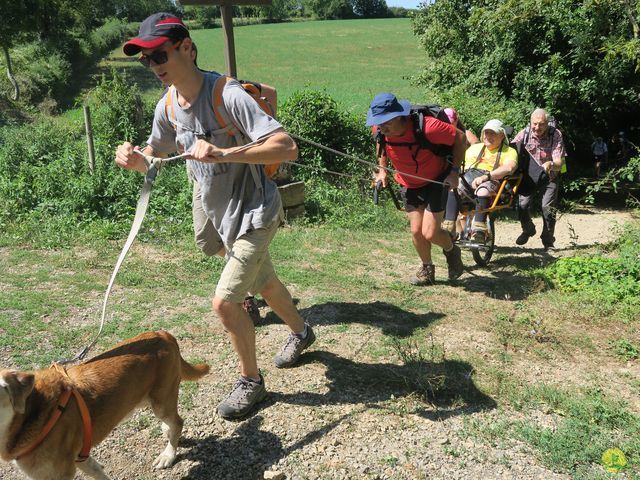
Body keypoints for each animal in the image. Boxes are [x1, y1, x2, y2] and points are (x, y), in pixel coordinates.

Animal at [0, 332, 209, 478]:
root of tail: (163, 334)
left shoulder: (59, 473)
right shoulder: (81, 458)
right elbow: (98, 472)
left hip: (161, 401)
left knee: (178, 422)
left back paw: (168, 455)